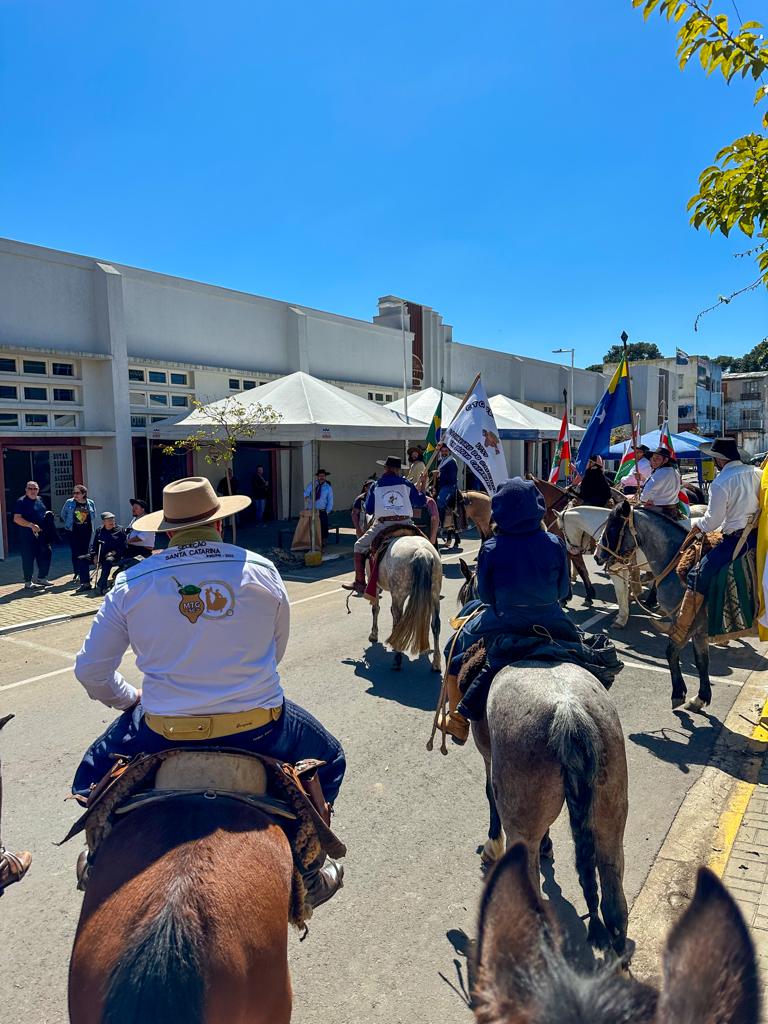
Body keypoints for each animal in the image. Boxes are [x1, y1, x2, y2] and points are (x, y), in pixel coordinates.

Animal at [368, 536, 444, 671]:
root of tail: (421, 552)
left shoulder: (375, 586)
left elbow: (375, 608)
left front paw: (373, 634)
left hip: (399, 593)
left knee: (398, 621)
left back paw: (397, 659)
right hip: (434, 594)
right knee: (436, 624)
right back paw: (436, 662)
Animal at [473, 659, 626, 954]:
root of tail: (569, 713)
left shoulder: (486, 751)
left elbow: (489, 794)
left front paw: (492, 845)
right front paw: (547, 844)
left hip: (521, 823)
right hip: (610, 809)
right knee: (614, 904)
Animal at [593, 503, 716, 712]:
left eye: (613, 526)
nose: (597, 556)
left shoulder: (688, 623)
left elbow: (671, 652)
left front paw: (678, 693)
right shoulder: (700, 627)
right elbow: (702, 660)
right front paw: (700, 698)